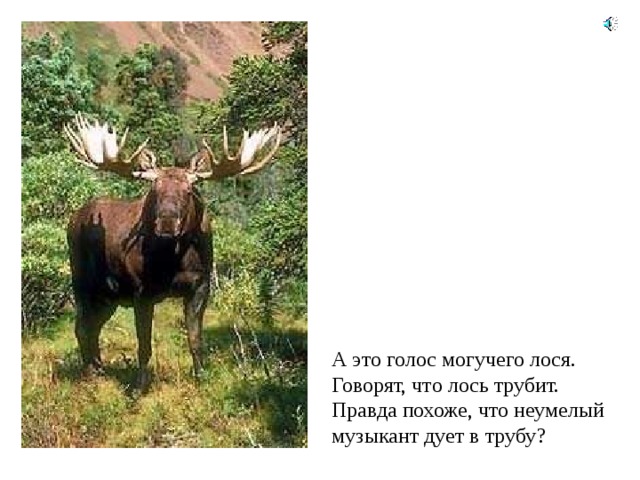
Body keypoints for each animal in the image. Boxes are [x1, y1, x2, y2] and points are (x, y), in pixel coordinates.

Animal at [63, 113, 281, 390]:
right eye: (154, 190)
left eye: (188, 192)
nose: (167, 222)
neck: (176, 260)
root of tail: (73, 219)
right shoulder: (141, 291)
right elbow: (144, 345)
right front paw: (138, 387)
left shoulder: (201, 286)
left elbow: (195, 340)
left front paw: (201, 378)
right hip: (82, 281)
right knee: (81, 326)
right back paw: (89, 373)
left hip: (109, 295)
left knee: (93, 327)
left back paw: (99, 368)